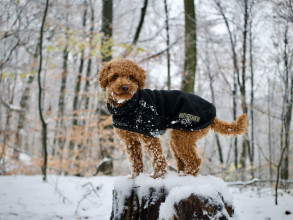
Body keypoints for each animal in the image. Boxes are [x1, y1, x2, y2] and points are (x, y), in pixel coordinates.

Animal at [98, 58, 246, 179]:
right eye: (115, 76)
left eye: (131, 77)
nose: (125, 87)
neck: (129, 105)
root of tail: (213, 116)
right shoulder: (130, 140)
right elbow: (135, 160)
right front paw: (135, 177)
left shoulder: (149, 134)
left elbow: (157, 157)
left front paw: (157, 176)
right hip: (179, 138)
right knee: (183, 161)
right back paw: (181, 173)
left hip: (183, 136)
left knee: (195, 161)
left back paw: (186, 176)